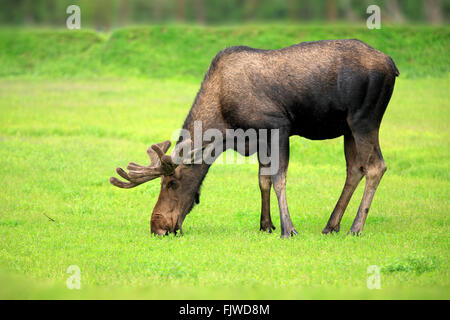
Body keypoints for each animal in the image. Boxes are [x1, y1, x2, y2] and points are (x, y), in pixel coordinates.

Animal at [110, 39, 400, 238]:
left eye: (171, 182)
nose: (156, 226)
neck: (225, 129)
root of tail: (393, 65)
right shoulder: (260, 137)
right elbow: (263, 180)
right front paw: (266, 225)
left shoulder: (279, 126)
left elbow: (279, 178)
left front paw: (288, 229)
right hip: (347, 127)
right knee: (354, 169)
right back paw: (331, 225)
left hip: (364, 118)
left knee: (376, 166)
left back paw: (355, 227)